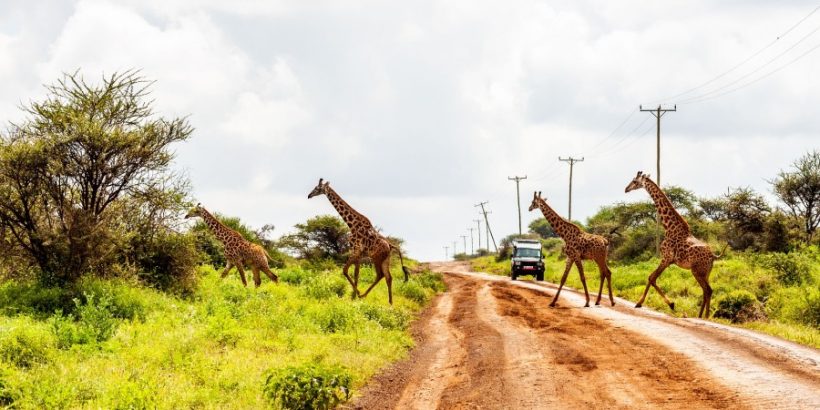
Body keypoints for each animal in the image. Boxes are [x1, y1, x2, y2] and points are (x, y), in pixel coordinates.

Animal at [624, 171, 720, 318]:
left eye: (635, 181)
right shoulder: (668, 260)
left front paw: (668, 304)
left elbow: (651, 277)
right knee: (706, 291)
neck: (668, 227)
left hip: (697, 271)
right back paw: (700, 316)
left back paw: (705, 317)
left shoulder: (666, 258)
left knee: (708, 290)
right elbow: (651, 277)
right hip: (706, 273)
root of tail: (713, 256)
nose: (626, 189)